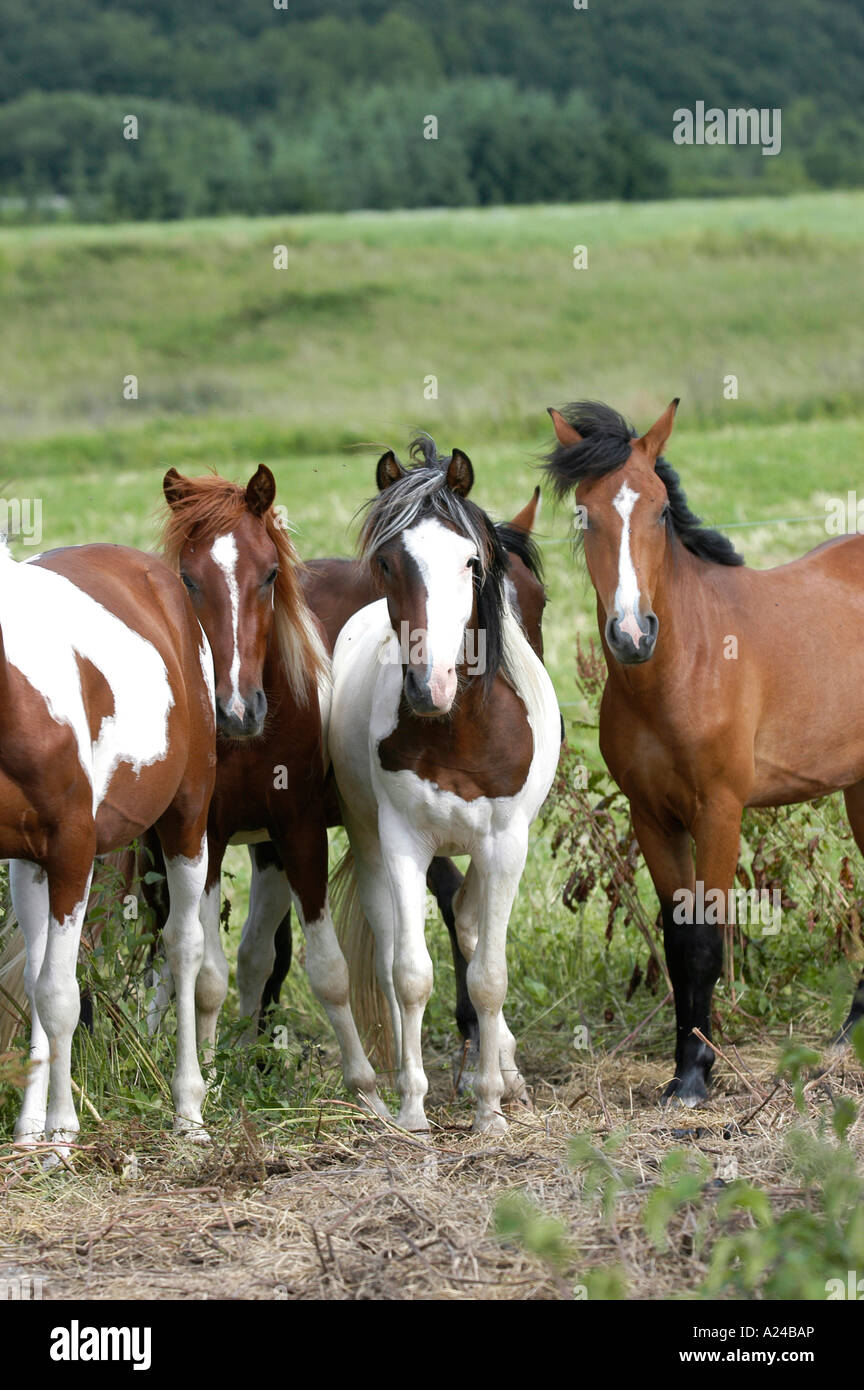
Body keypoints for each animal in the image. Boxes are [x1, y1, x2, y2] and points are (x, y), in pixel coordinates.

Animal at [0, 536, 215, 1156]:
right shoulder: (34, 857)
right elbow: (37, 986)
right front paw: (36, 1133)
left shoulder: (72, 850)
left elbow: (59, 997)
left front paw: (63, 1135)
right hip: (30, 867)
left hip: (187, 818)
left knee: (183, 947)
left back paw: (188, 1112)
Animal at [156, 467, 388, 1117]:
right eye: (188, 579)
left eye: (269, 575)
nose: (236, 711)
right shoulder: (207, 837)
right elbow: (210, 975)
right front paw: (210, 1076)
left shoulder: (301, 832)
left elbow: (330, 970)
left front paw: (366, 1090)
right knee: (249, 957)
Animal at [327, 439, 566, 1134]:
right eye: (387, 561)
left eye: (470, 561)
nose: (427, 687)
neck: (458, 729)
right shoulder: (403, 841)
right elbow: (410, 974)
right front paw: (412, 1107)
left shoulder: (505, 843)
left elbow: (488, 975)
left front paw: (490, 1106)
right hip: (373, 845)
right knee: (390, 950)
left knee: (470, 926)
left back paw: (503, 1070)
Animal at [547, 400, 864, 1106]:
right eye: (585, 513)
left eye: (662, 510)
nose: (633, 633)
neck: (682, 666)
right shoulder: (653, 817)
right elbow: (678, 941)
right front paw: (683, 1071)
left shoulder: (719, 811)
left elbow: (708, 941)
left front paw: (697, 1073)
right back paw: (850, 1035)